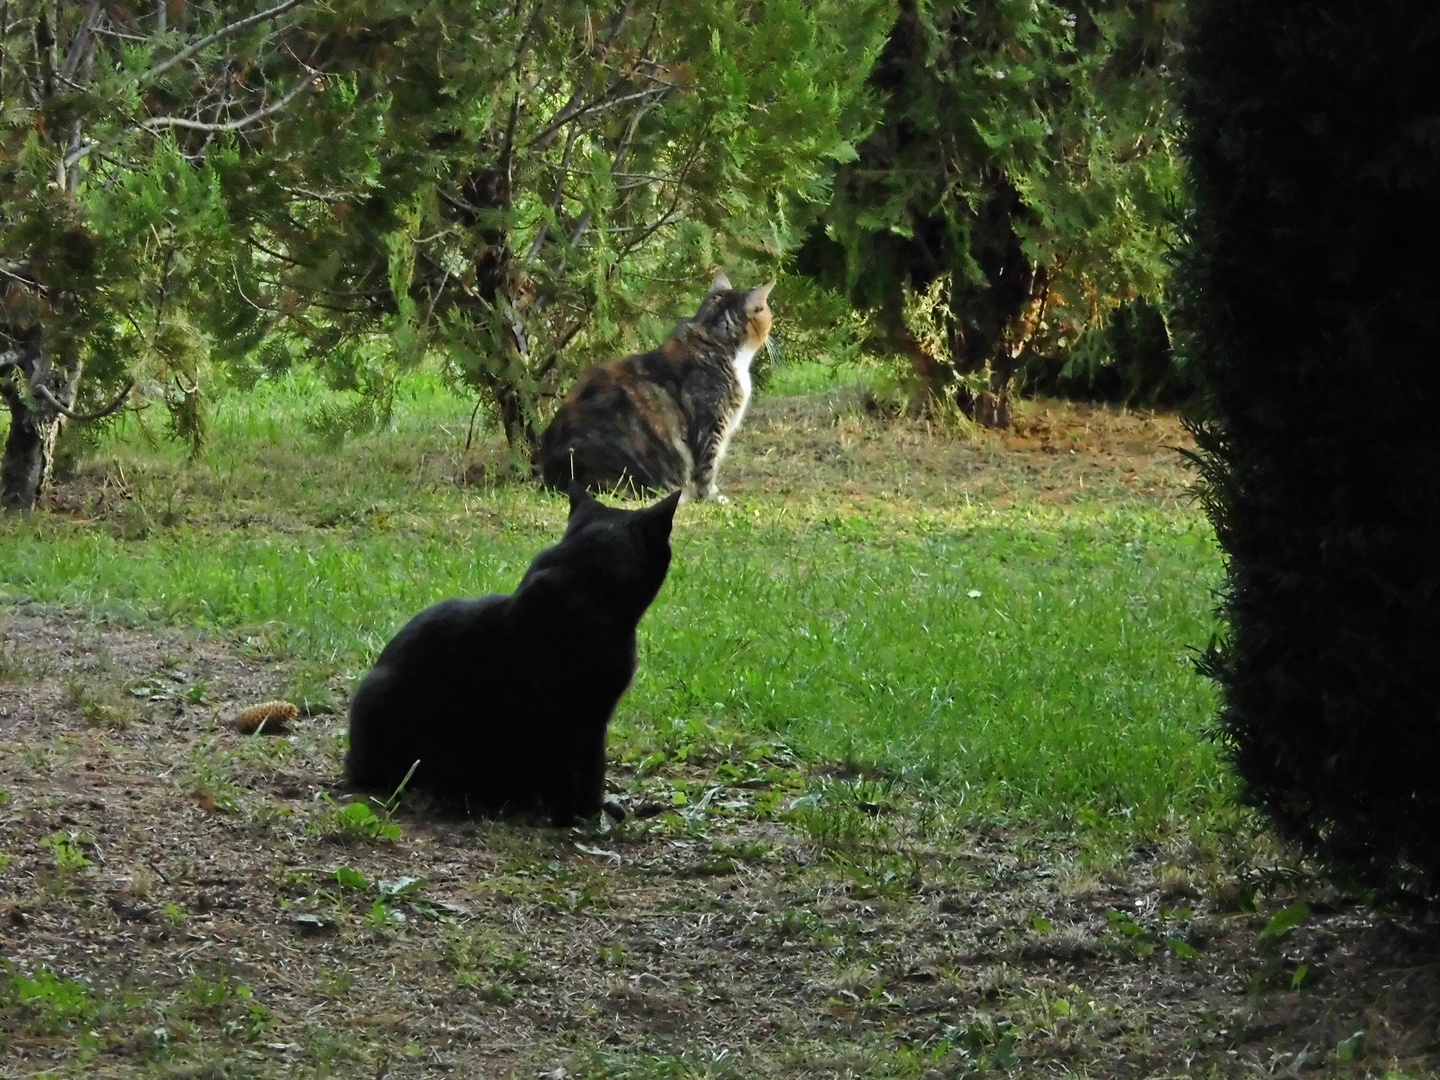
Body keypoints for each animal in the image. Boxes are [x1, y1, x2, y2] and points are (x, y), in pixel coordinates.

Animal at [349, 486, 685, 823]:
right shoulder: (575, 721)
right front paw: (579, 816)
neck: (584, 585)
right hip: (384, 697)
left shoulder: (587, 721)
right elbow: (585, 773)